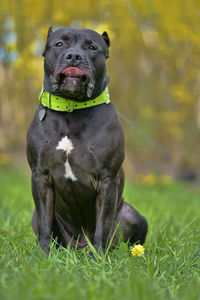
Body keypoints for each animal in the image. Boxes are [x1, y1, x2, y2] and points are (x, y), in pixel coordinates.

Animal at [26, 27, 148, 253]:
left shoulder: (108, 180)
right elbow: (45, 223)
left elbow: (103, 224)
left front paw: (99, 257)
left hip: (135, 217)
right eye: (59, 44)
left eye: (92, 47)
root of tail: (79, 245)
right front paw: (44, 255)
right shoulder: (40, 176)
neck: (71, 108)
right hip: (36, 217)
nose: (74, 56)